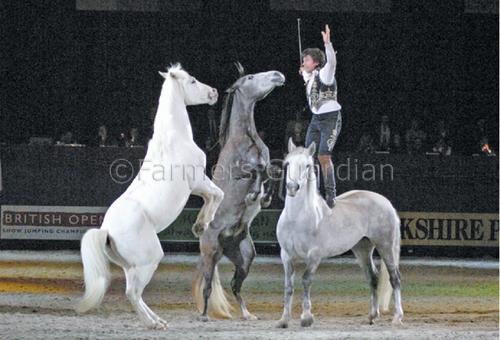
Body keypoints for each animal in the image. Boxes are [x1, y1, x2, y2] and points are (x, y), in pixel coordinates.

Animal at [75, 63, 222, 330]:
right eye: (193, 81)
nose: (214, 92)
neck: (175, 139)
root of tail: (106, 231)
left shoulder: (197, 187)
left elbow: (211, 197)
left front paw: (199, 225)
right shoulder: (197, 181)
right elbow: (218, 194)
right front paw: (201, 225)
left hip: (130, 266)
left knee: (135, 292)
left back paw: (158, 320)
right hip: (149, 259)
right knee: (132, 293)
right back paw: (154, 324)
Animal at [191, 63, 286, 322]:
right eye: (251, 77)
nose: (278, 75)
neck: (246, 138)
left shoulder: (270, 164)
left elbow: (275, 169)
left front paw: (265, 197)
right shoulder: (241, 172)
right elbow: (258, 170)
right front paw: (254, 195)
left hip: (245, 256)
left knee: (235, 285)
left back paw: (247, 314)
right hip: (210, 253)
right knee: (208, 286)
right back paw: (204, 315)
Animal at [276, 138, 404, 330]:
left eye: (307, 165)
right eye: (287, 163)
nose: (292, 187)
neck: (297, 218)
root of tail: (386, 202)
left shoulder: (314, 256)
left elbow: (306, 280)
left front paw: (306, 318)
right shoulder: (286, 256)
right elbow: (288, 286)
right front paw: (284, 320)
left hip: (386, 246)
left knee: (394, 278)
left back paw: (397, 317)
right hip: (362, 249)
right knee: (372, 278)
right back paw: (372, 316)